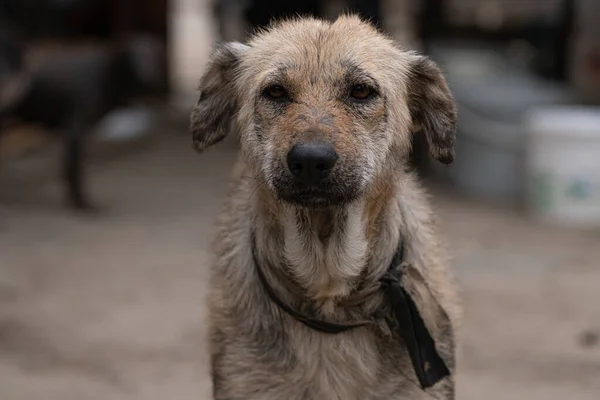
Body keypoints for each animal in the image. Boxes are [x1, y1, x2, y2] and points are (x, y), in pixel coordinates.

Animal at [0, 33, 164, 211]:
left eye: (154, 54)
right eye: (135, 54)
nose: (148, 72)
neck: (106, 74)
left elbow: (69, 167)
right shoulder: (75, 129)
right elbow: (74, 168)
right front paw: (80, 203)